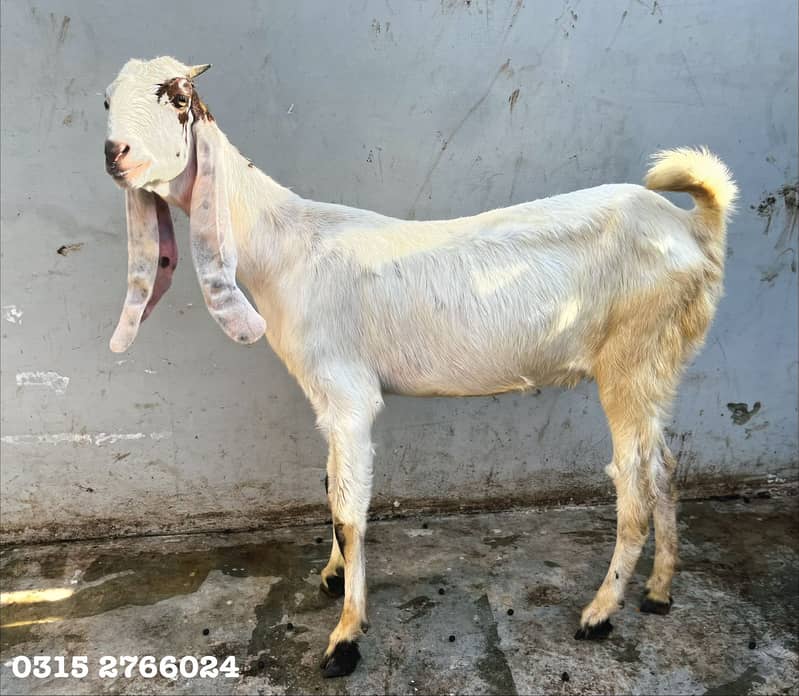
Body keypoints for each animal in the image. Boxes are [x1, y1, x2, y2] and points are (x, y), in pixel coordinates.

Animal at [103, 57, 737, 677]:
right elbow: (330, 484)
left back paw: (601, 613)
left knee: (633, 488)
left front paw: (345, 637)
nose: (116, 153)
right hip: (660, 366)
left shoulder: (347, 391)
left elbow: (349, 509)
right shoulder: (326, 398)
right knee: (664, 468)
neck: (282, 244)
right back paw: (658, 592)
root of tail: (693, 228)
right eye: (107, 99)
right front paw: (334, 575)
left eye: (176, 99)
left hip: (632, 358)